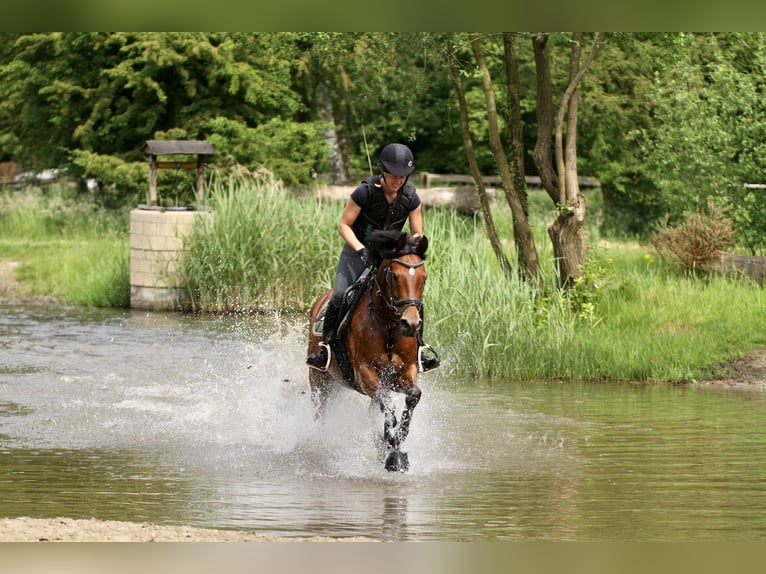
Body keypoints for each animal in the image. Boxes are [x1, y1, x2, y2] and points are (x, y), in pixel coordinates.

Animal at [308, 232, 432, 474]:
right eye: (394, 276)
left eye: (423, 278)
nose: (411, 323)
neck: (389, 329)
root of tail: (320, 300)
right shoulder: (364, 373)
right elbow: (388, 407)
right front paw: (393, 451)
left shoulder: (405, 371)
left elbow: (412, 396)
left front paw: (397, 440)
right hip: (319, 379)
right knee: (320, 412)